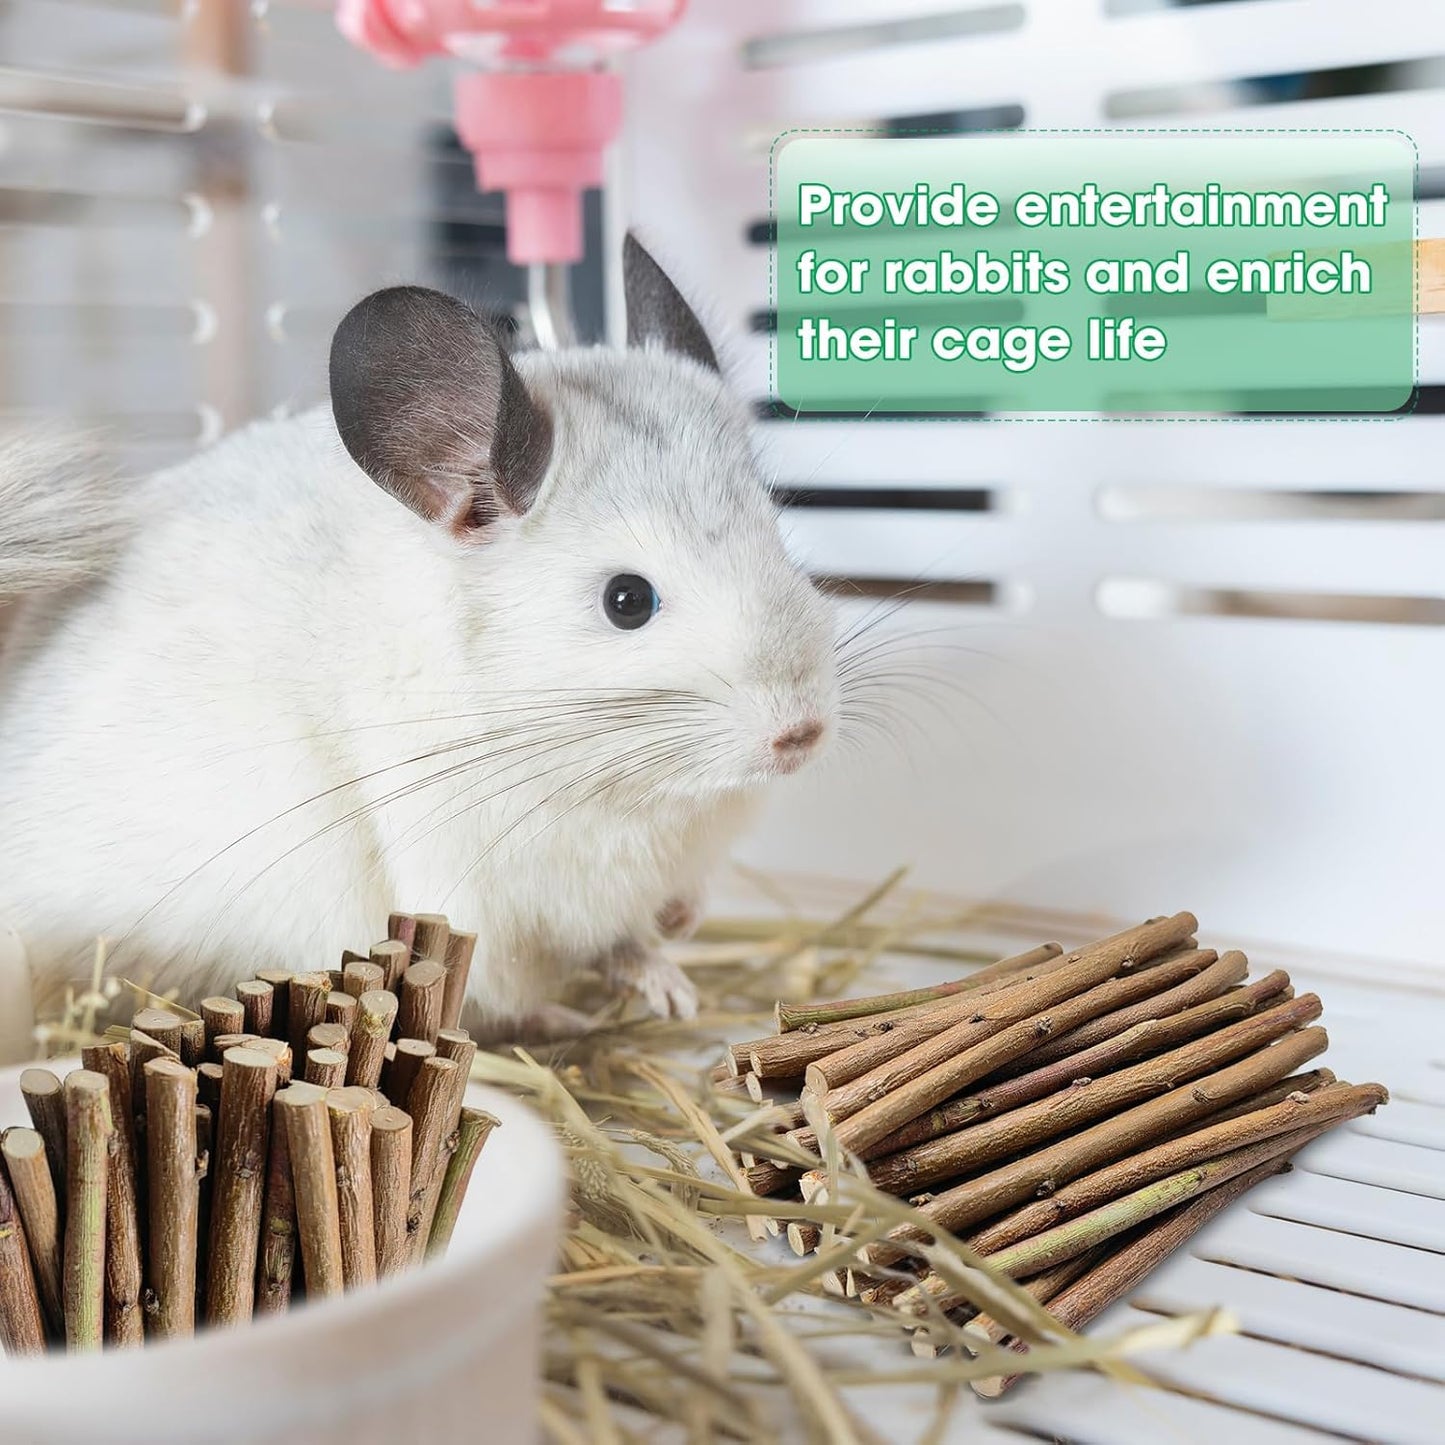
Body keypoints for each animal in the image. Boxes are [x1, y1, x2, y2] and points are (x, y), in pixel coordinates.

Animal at [0, 235, 838, 1042]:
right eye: (626, 600)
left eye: (779, 541)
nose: (801, 735)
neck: (625, 781)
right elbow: (515, 978)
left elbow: (642, 930)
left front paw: (673, 969)